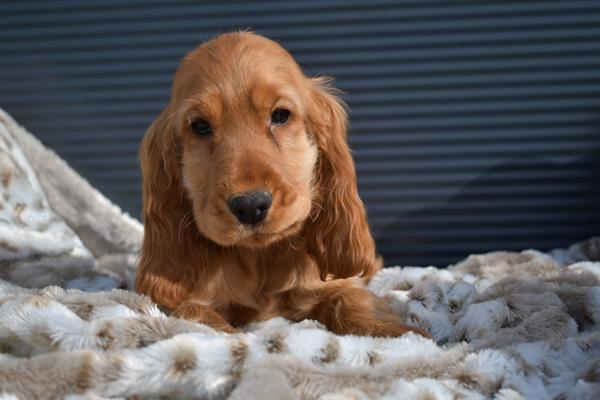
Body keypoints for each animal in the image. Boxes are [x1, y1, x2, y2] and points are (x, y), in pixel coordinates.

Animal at [138, 32, 432, 338]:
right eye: (200, 126)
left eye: (280, 115)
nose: (250, 206)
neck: (261, 258)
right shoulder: (190, 300)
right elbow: (197, 315)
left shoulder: (329, 285)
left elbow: (351, 298)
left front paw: (399, 333)